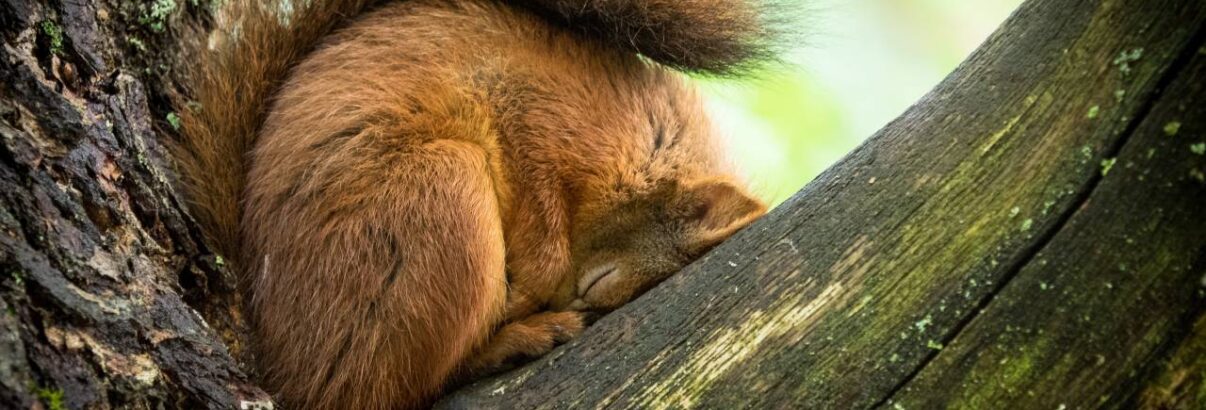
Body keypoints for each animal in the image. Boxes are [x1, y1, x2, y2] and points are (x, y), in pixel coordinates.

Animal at [172, 0, 781, 408]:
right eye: (600, 282)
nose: (577, 304)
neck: (643, 140)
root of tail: (285, 367)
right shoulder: (537, 119)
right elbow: (541, 222)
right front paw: (532, 287)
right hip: (440, 195)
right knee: (385, 389)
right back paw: (518, 334)